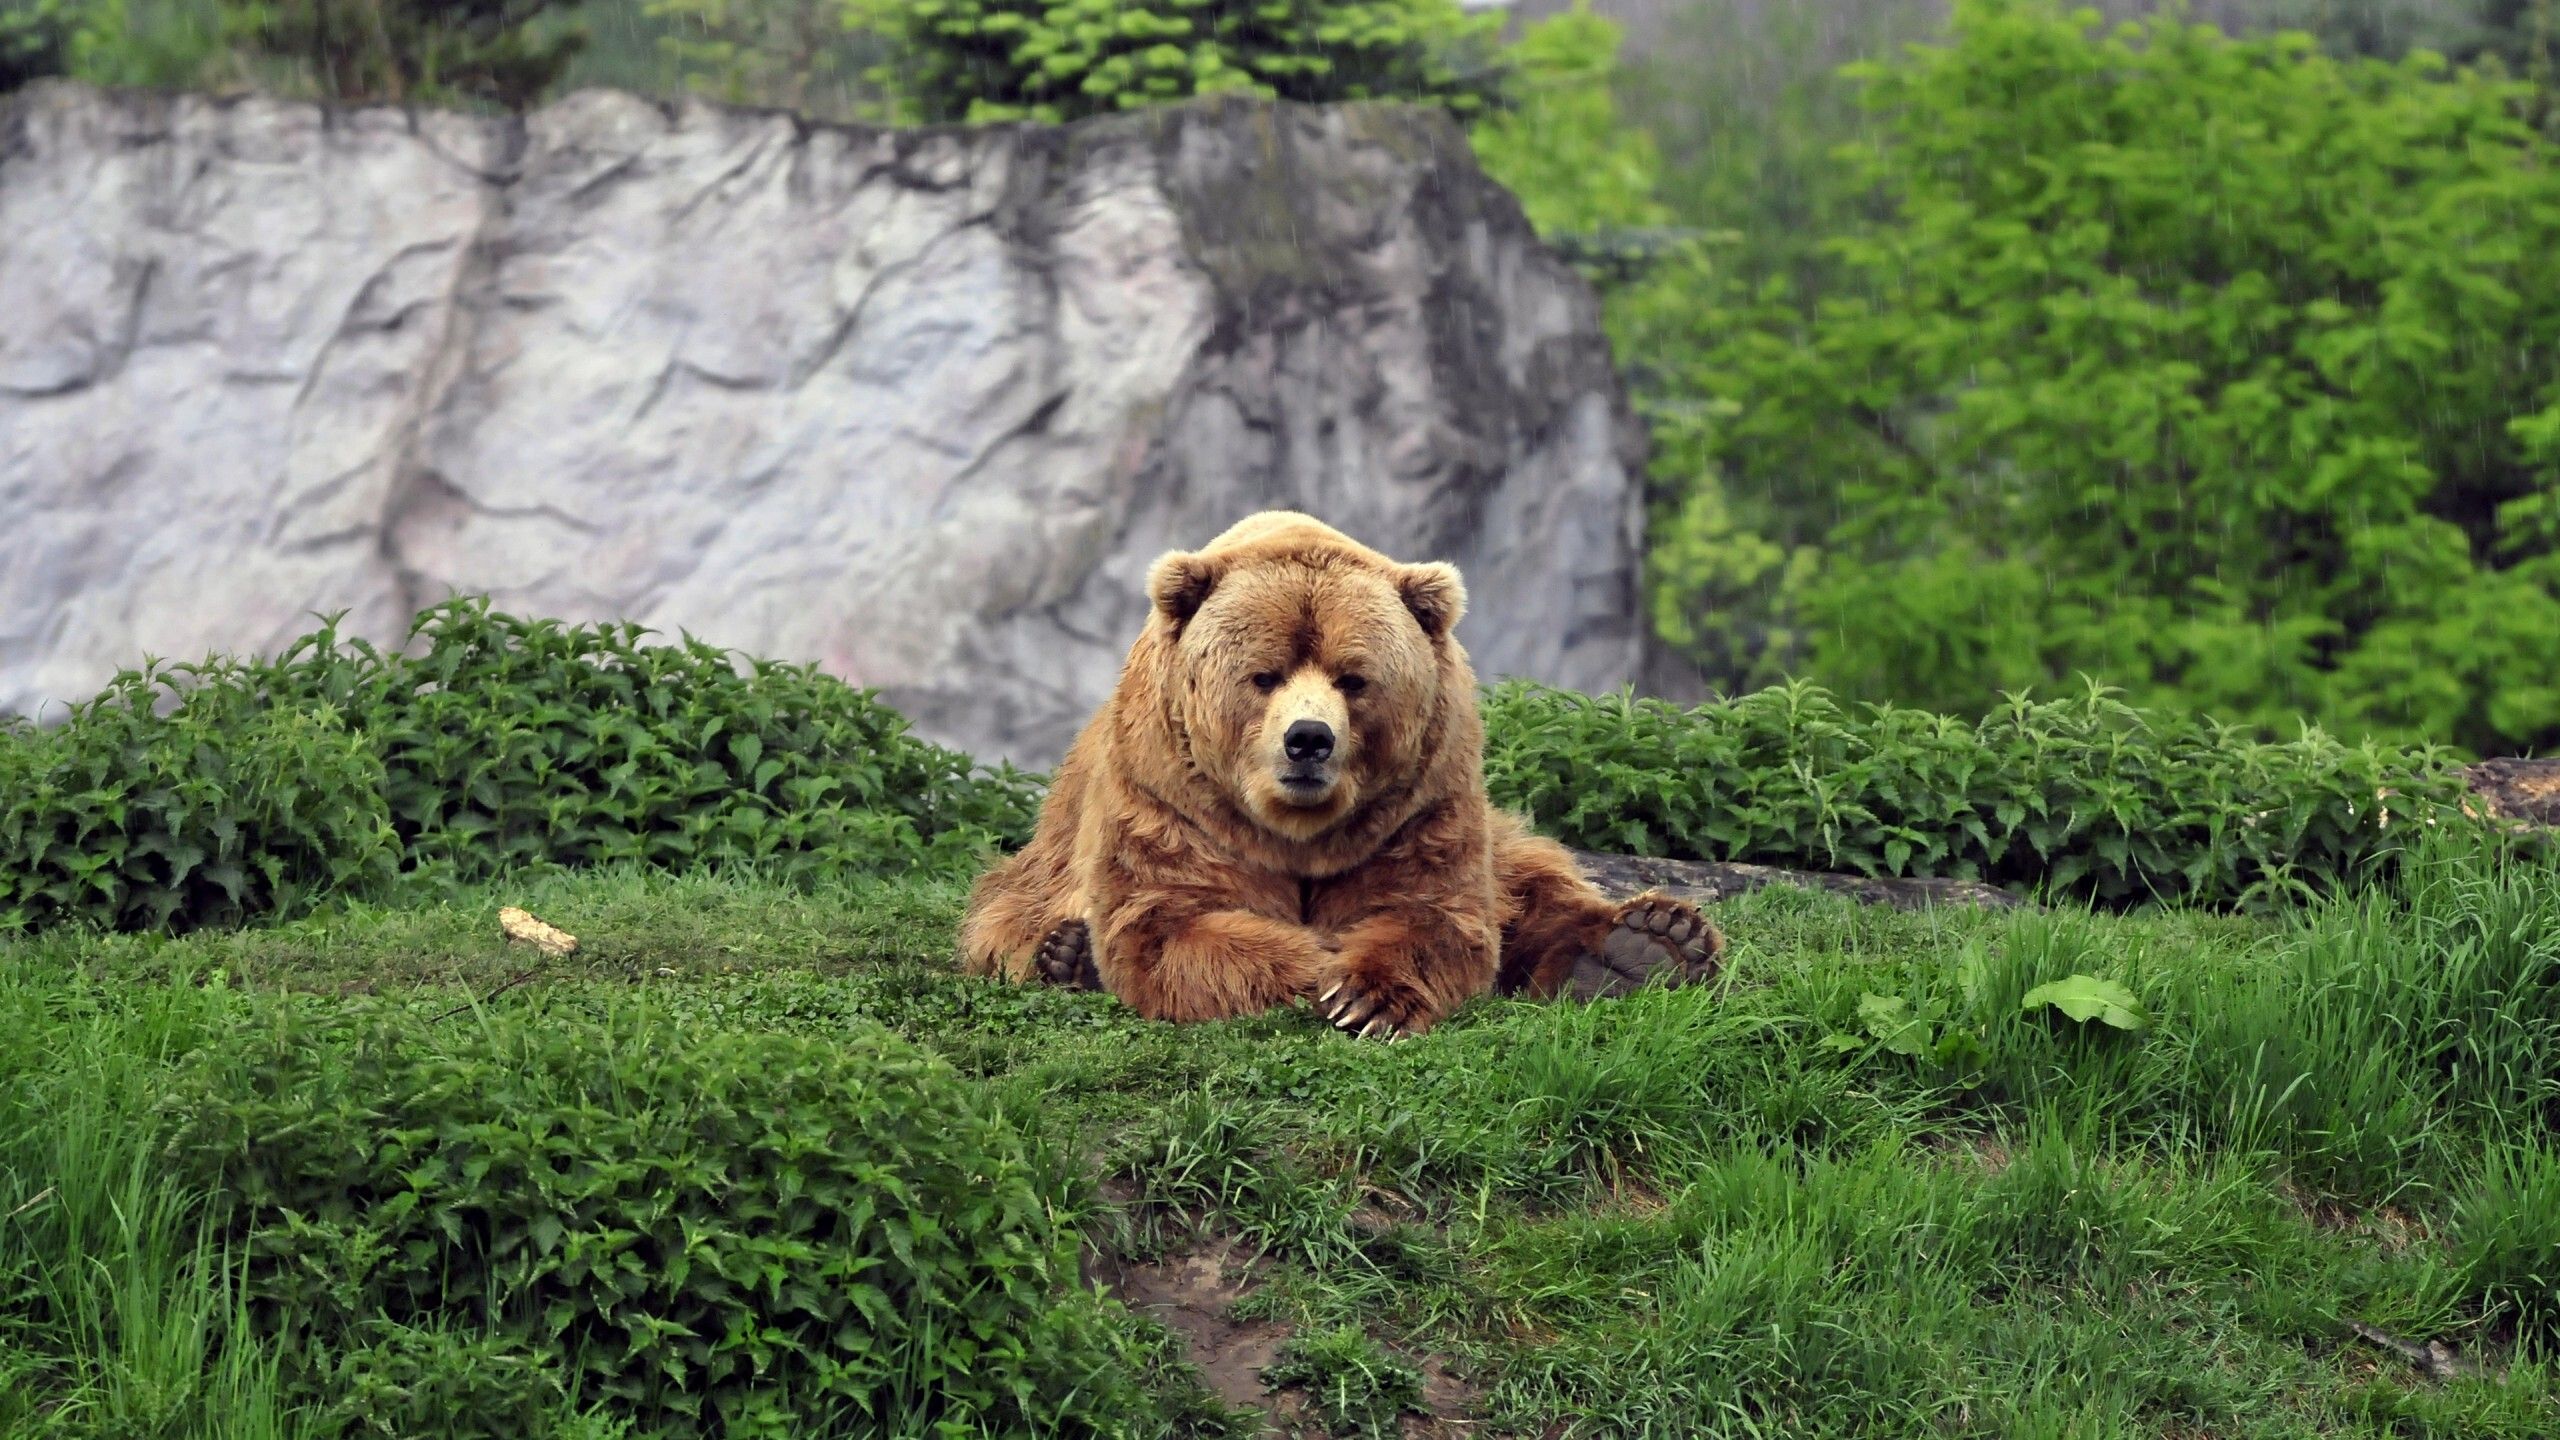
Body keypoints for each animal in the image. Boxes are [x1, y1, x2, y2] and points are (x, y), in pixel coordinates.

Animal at [959, 511, 1722, 1038]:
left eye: (1353, 678)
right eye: (1263, 674)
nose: (1308, 740)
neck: (1297, 831)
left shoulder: (1419, 804)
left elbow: (1436, 913)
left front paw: (1367, 996)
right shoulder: (1171, 799)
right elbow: (1174, 922)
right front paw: (1316, 968)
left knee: (1534, 880)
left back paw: (1647, 943)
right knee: (1010, 917)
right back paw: (1064, 956)